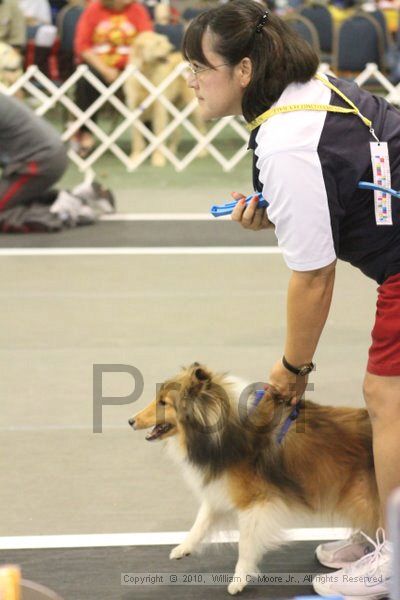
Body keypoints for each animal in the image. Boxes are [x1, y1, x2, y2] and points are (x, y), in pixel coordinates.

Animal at [129, 360, 378, 596]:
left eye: (163, 402)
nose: (130, 421)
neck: (224, 430)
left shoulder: (253, 501)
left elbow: (245, 544)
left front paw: (238, 580)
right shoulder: (222, 487)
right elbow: (202, 520)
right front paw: (183, 548)